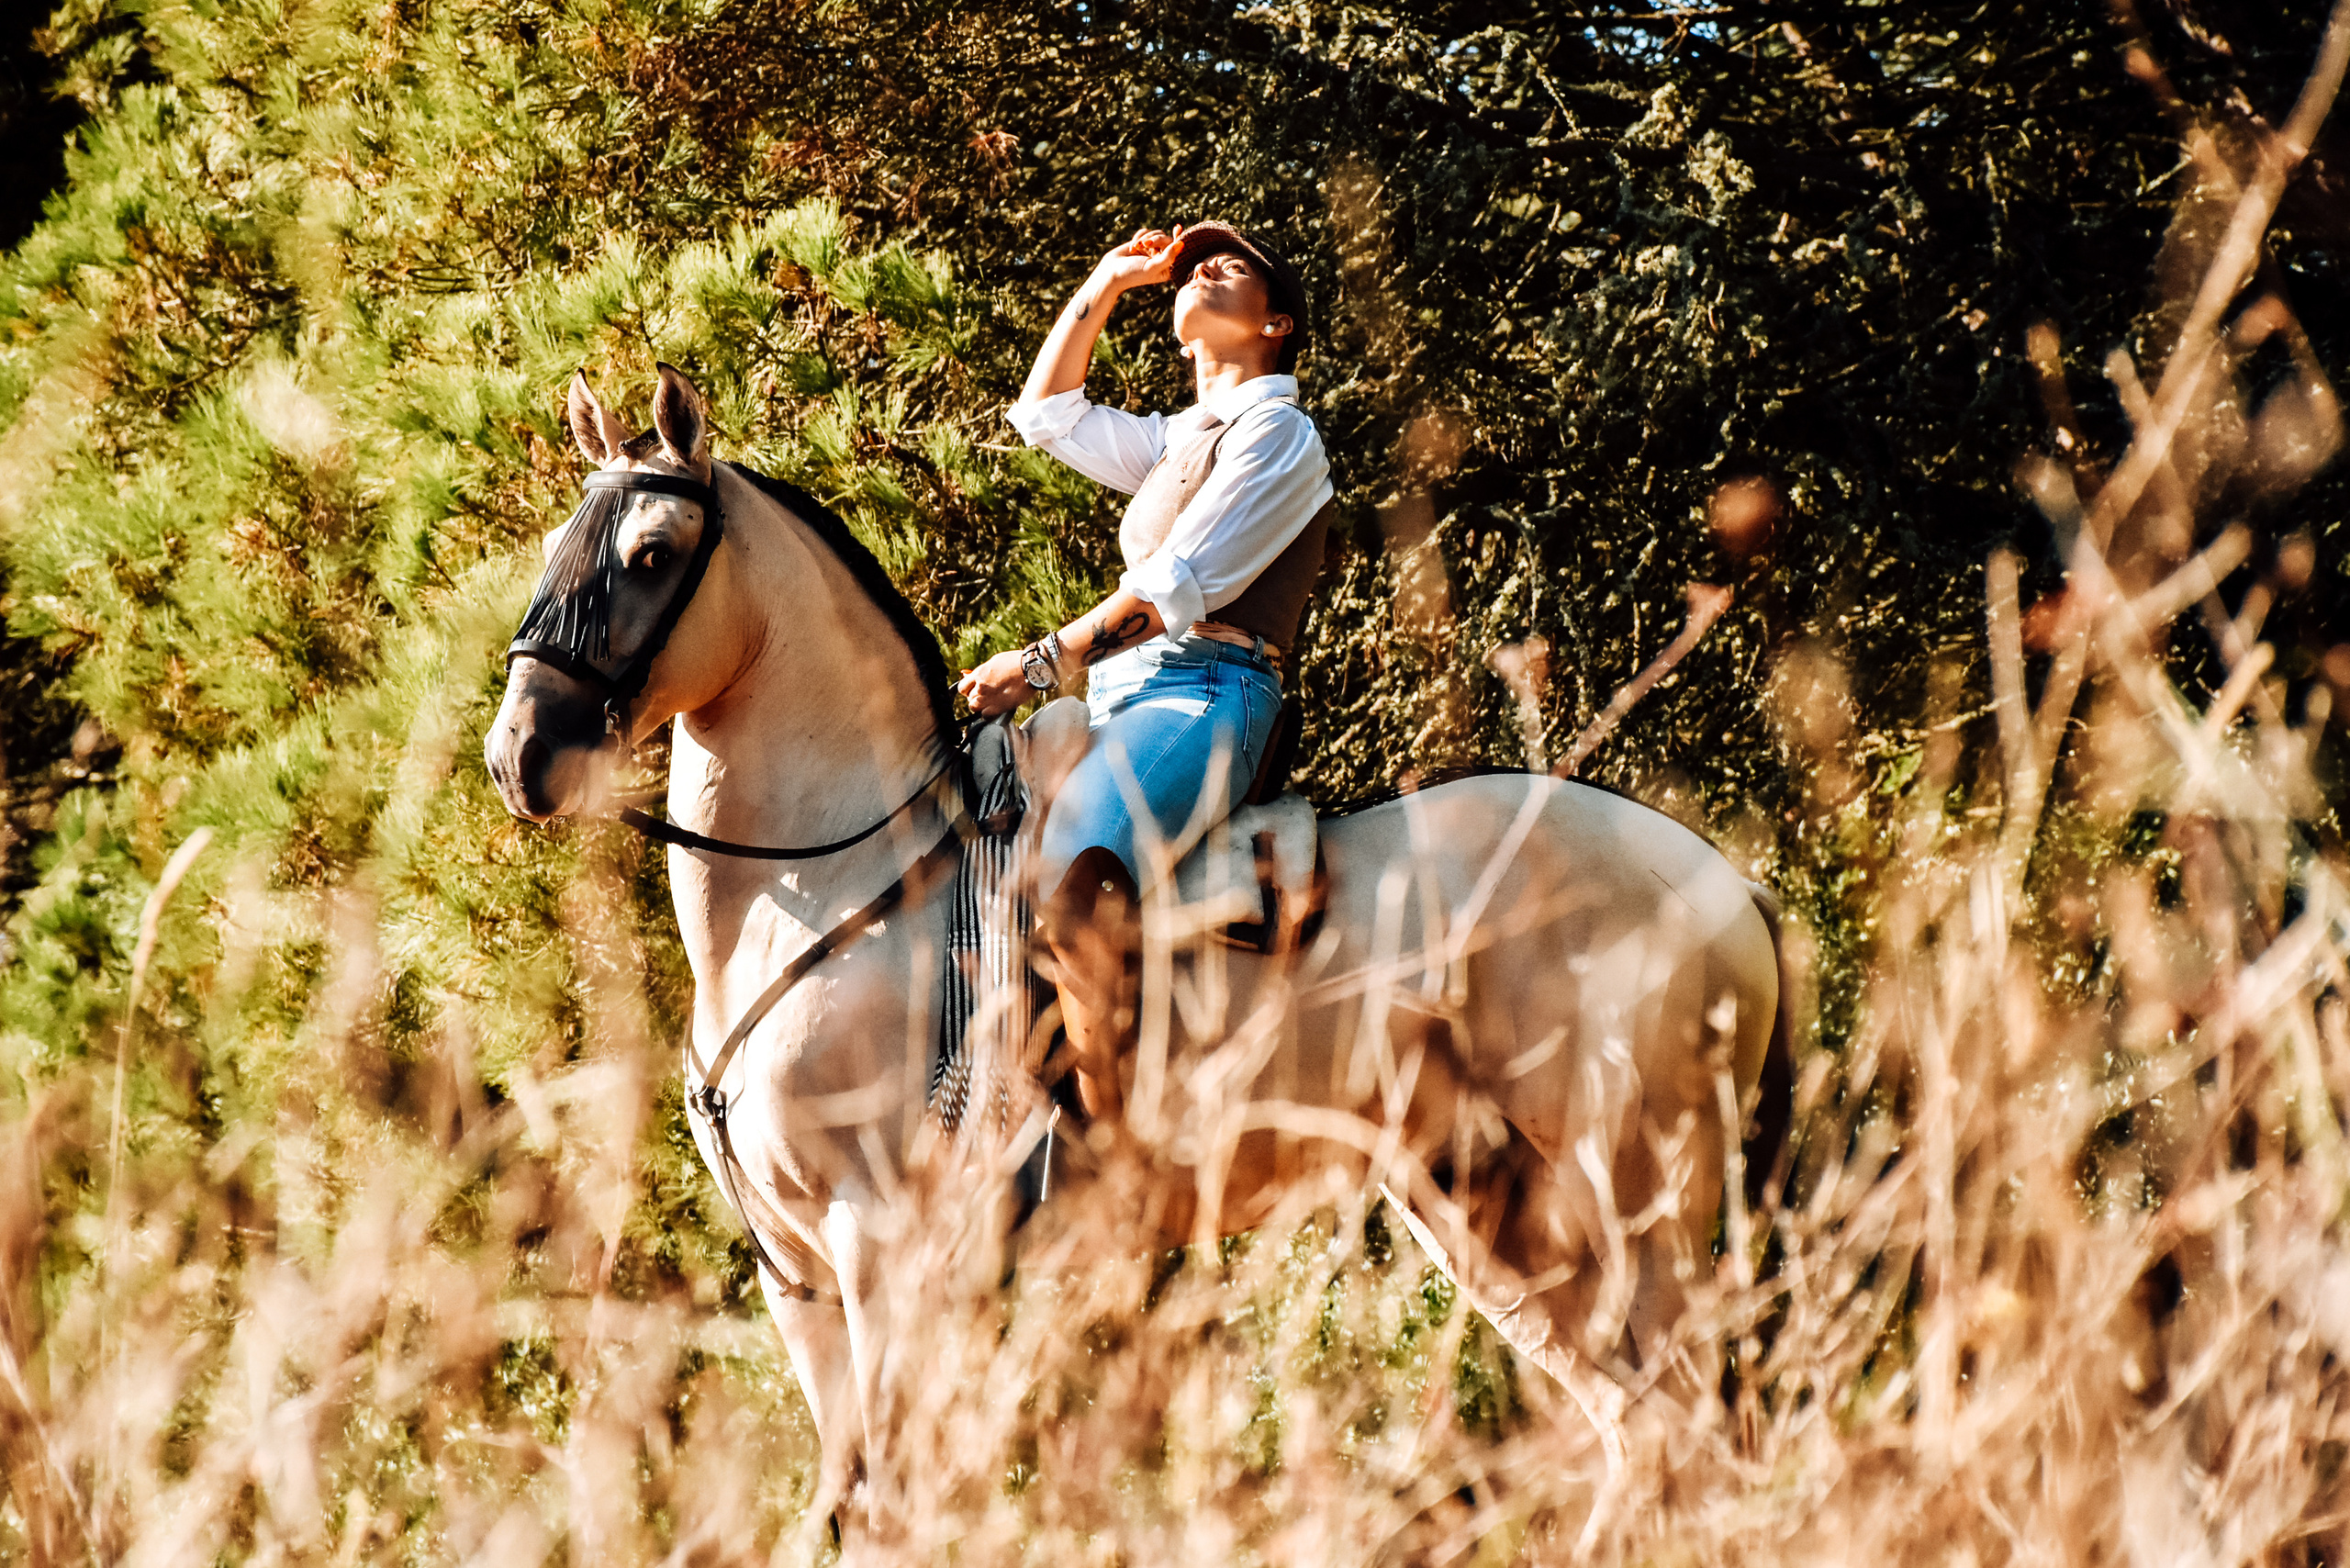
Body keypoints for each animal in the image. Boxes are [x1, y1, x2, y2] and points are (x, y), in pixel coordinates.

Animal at [485, 363, 1790, 1514]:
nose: (519, 753)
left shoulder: (885, 1252)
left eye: (650, 556)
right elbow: (853, 1498)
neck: (834, 891)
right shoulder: (795, 1275)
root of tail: (1720, 878)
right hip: (1500, 1222)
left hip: (1640, 1211)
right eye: (556, 546)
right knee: (1646, 1438)